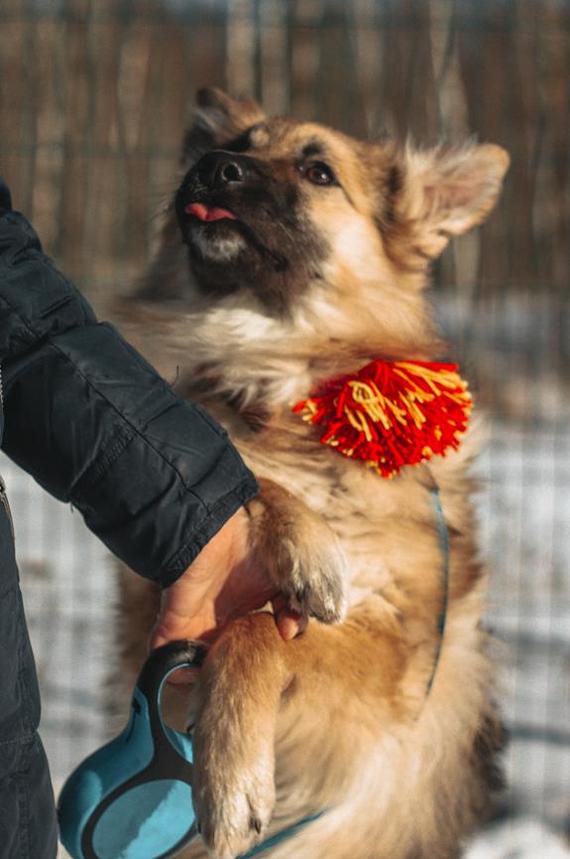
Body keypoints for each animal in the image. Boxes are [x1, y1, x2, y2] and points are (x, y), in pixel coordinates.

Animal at [114, 89, 506, 859]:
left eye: (319, 171)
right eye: (240, 143)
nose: (213, 166)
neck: (277, 361)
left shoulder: (383, 675)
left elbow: (254, 631)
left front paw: (228, 775)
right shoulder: (159, 605)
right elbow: (235, 472)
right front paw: (309, 544)